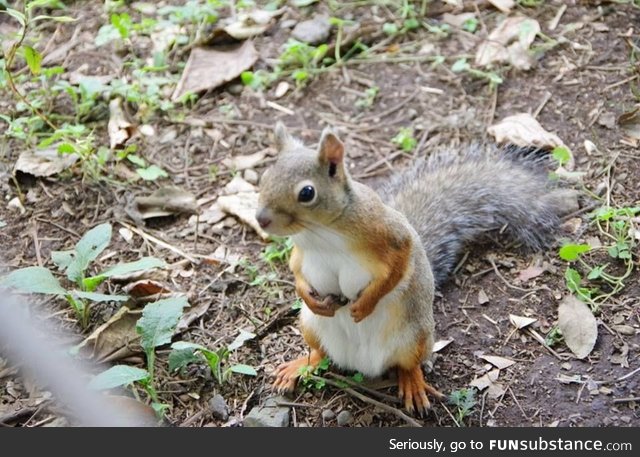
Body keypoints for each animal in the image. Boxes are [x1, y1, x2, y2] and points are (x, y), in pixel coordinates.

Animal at [255, 122, 580, 414]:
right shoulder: (300, 253)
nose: (261, 219)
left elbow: (400, 266)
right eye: (264, 177)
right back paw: (299, 365)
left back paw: (414, 384)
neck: (321, 232)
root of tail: (362, 365)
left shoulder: (391, 235)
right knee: (319, 354)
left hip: (415, 337)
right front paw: (308, 295)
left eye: (307, 193)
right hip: (310, 326)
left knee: (408, 364)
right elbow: (296, 269)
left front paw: (366, 304)